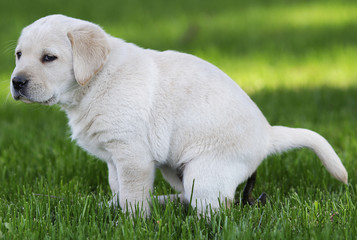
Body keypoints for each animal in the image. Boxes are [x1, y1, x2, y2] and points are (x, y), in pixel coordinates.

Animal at [9, 14, 348, 218]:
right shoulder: (114, 159)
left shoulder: (132, 155)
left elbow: (132, 195)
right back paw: (165, 204)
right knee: (189, 197)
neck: (95, 81)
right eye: (18, 55)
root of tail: (268, 133)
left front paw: (130, 223)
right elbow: (118, 189)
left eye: (49, 58)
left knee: (218, 209)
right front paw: (115, 210)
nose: (16, 82)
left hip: (205, 171)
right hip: (175, 171)